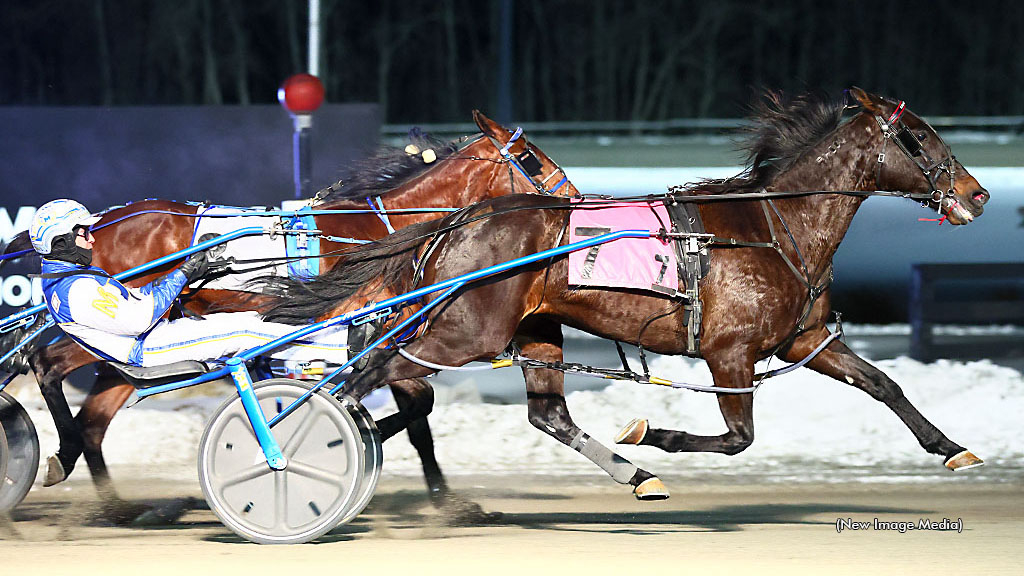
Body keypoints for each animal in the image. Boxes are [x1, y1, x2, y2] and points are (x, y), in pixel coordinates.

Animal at [0, 109, 577, 518]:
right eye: (530, 158)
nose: (572, 201)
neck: (380, 233)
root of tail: (102, 223)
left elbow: (415, 411)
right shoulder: (377, 328)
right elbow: (417, 410)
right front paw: (438, 496)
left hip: (134, 357)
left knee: (94, 422)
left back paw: (119, 507)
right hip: (116, 322)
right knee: (46, 363)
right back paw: (65, 454)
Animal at [268, 88, 987, 498]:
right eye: (917, 137)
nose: (976, 193)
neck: (771, 224)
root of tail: (459, 220)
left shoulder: (803, 338)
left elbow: (883, 383)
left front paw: (952, 447)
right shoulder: (730, 353)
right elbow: (739, 438)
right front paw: (654, 432)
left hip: (533, 329)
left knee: (545, 414)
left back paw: (634, 477)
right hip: (466, 330)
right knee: (371, 374)